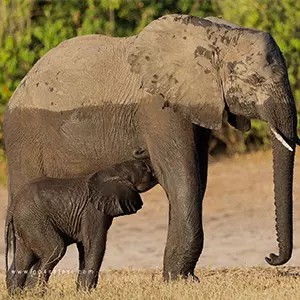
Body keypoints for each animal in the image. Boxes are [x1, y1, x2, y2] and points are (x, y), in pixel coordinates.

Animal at [3, 15, 298, 280]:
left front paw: (179, 279)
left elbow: (197, 178)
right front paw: (179, 281)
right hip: (24, 138)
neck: (212, 34)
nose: (270, 257)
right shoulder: (159, 107)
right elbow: (182, 178)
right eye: (255, 80)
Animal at [5, 158, 157, 294]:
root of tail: (13, 205)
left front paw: (82, 292)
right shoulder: (92, 211)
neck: (113, 171)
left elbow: (84, 248)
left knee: (24, 257)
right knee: (54, 249)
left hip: (25, 224)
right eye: (145, 169)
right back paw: (35, 293)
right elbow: (95, 245)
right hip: (34, 220)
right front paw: (86, 292)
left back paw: (19, 294)